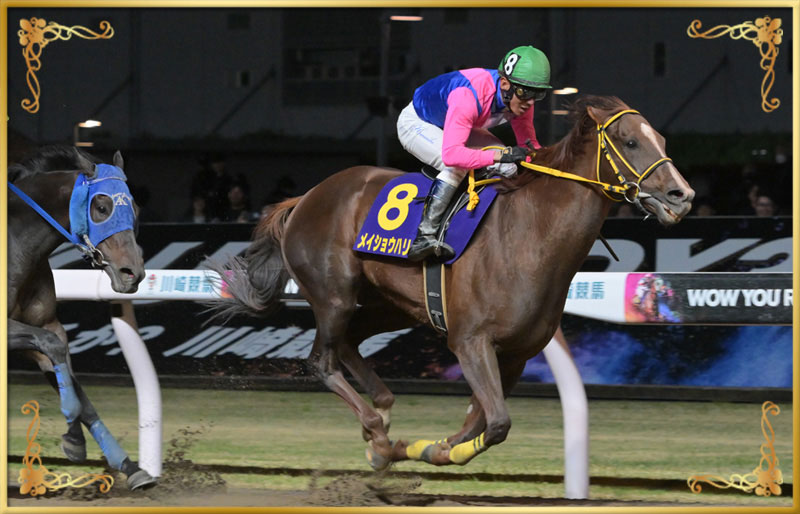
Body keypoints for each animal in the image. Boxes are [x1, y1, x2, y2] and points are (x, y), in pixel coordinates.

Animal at [8, 145, 155, 489]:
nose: (132, 273)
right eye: (101, 207)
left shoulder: (42, 326)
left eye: (135, 208)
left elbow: (70, 376)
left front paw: (130, 467)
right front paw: (74, 440)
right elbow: (53, 346)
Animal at [209, 95, 694, 470]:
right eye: (630, 141)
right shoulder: (470, 340)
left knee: (350, 341)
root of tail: (307, 196)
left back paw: (383, 415)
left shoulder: (516, 353)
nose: (683, 196)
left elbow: (480, 422)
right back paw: (377, 435)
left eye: (661, 140)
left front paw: (433, 447)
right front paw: (426, 449)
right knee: (322, 362)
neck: (529, 234)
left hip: (390, 305)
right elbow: (497, 423)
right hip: (334, 295)